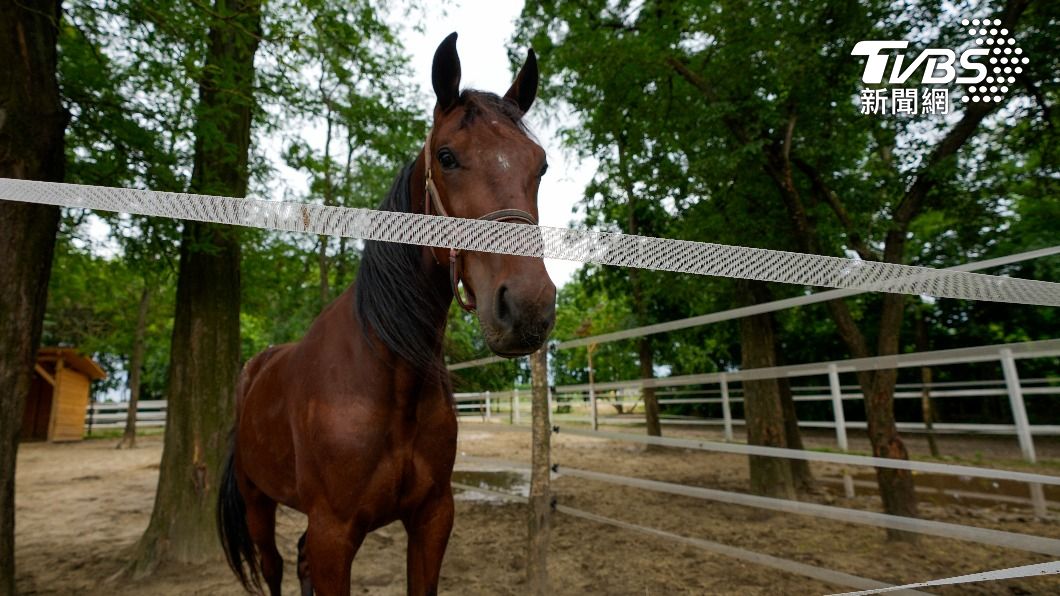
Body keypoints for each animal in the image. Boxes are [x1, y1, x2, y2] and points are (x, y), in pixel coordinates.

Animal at [217, 32, 556, 596]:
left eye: (541, 165)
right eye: (447, 156)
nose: (528, 307)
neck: (388, 377)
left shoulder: (432, 518)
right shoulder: (334, 532)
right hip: (257, 501)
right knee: (274, 566)